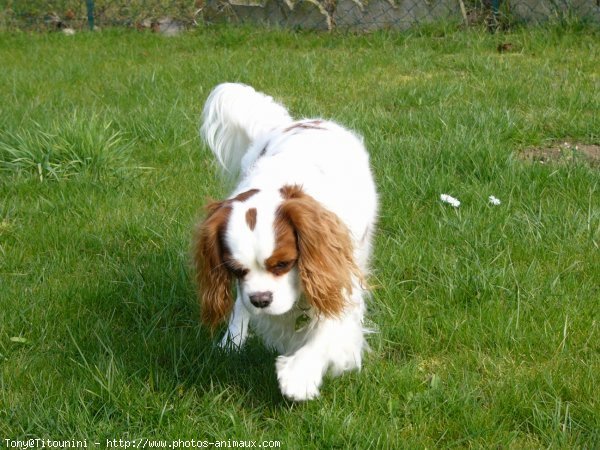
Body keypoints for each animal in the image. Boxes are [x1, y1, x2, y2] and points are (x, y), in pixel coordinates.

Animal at [195, 82, 378, 400]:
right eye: (236, 270)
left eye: (283, 264)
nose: (261, 299)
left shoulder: (338, 272)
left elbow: (330, 326)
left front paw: (300, 373)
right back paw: (233, 340)